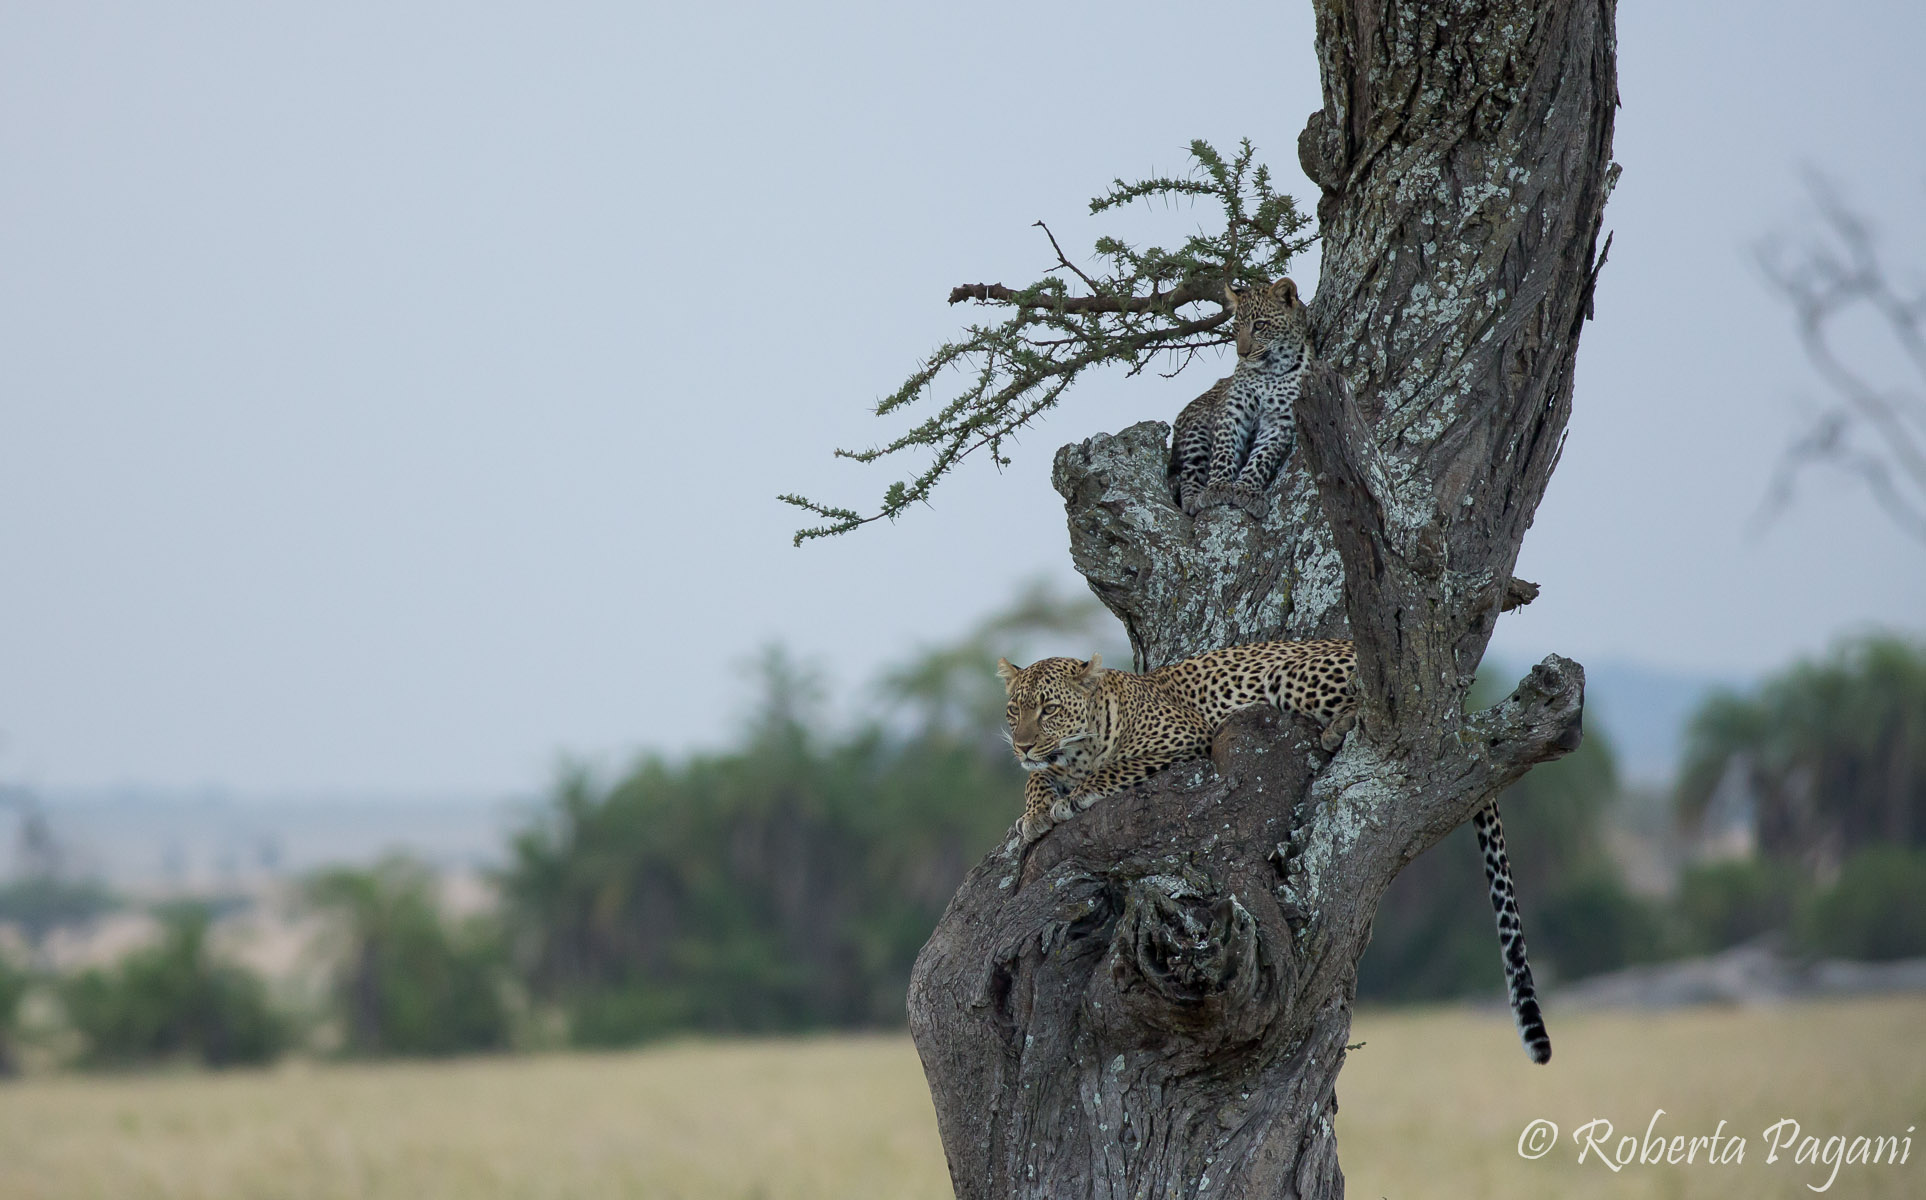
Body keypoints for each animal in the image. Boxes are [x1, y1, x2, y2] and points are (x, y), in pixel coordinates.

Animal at [996, 638, 1553, 1064]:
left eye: (1048, 708)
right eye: (1015, 709)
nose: (1020, 745)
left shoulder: (1187, 740)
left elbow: (1115, 769)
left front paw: (1074, 795)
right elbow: (1035, 782)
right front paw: (1034, 811)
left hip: (1294, 674)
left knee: (1379, 708)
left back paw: (1338, 726)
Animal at [1168, 277, 1313, 518]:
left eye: (1260, 325)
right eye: (1236, 327)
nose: (1242, 353)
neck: (1269, 370)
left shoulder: (1279, 421)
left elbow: (1262, 457)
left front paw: (1247, 491)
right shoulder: (1233, 412)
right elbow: (1223, 450)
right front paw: (1217, 487)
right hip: (1197, 426)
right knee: (1190, 470)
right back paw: (1192, 498)